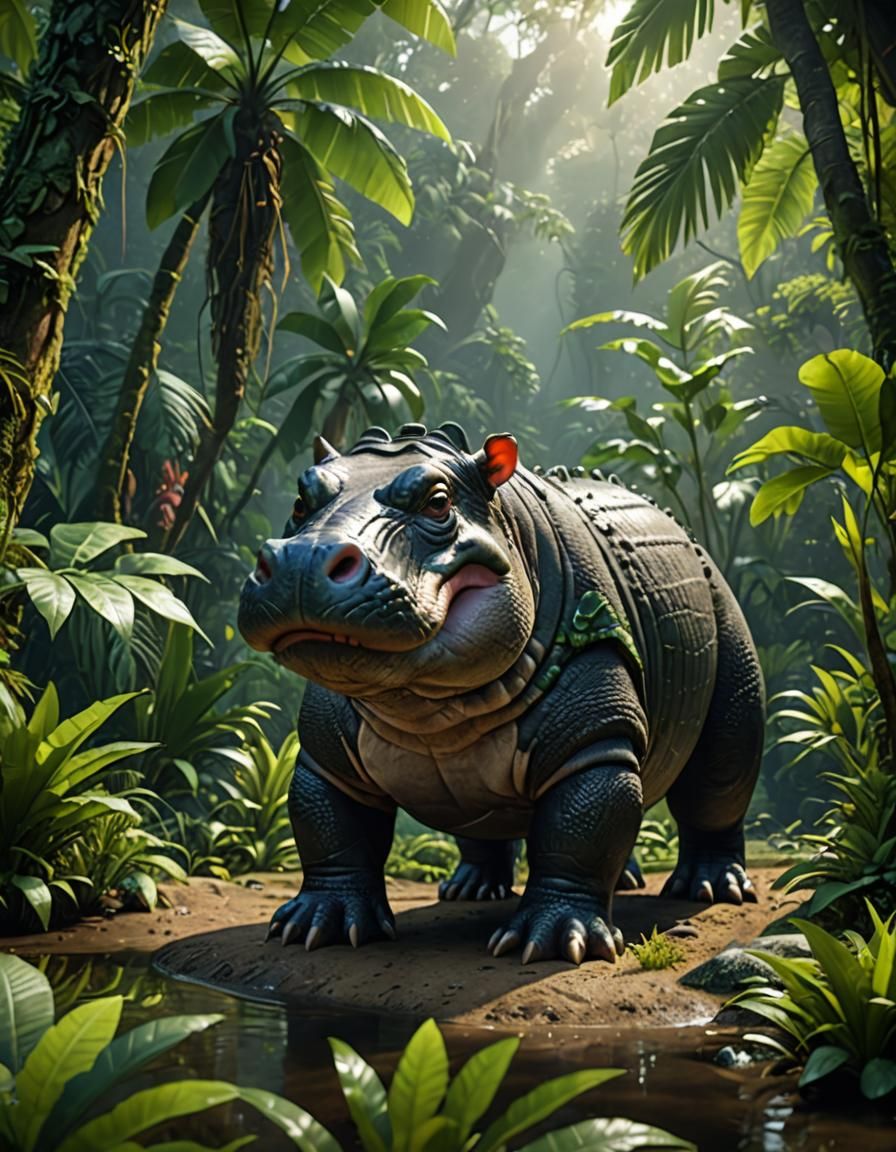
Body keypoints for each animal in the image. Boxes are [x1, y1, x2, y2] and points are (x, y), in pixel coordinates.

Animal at [238, 423, 764, 965]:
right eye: (300, 500)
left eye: (438, 504)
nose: (303, 560)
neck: (430, 704)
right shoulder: (325, 755)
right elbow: (329, 821)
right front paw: (314, 925)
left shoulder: (593, 736)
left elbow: (581, 824)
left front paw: (558, 943)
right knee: (484, 817)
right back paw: (471, 890)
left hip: (720, 600)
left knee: (720, 773)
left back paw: (709, 890)